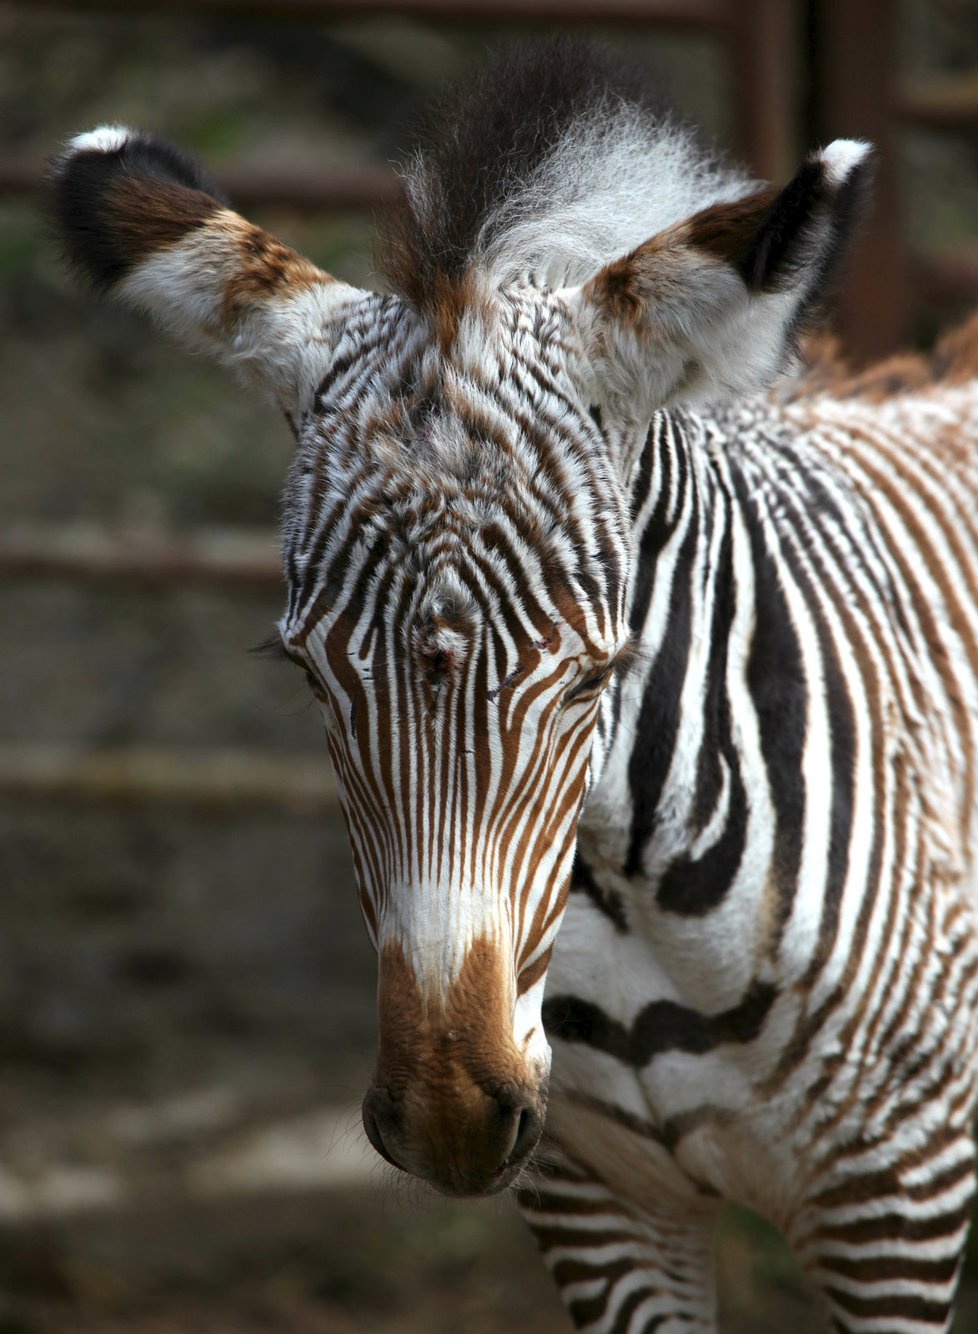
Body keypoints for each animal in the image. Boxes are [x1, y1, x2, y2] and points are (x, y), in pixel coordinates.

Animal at [49, 41, 976, 1334]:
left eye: (596, 674)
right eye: (306, 672)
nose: (447, 1116)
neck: (641, 901)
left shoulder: (897, 1204)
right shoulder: (601, 1204)